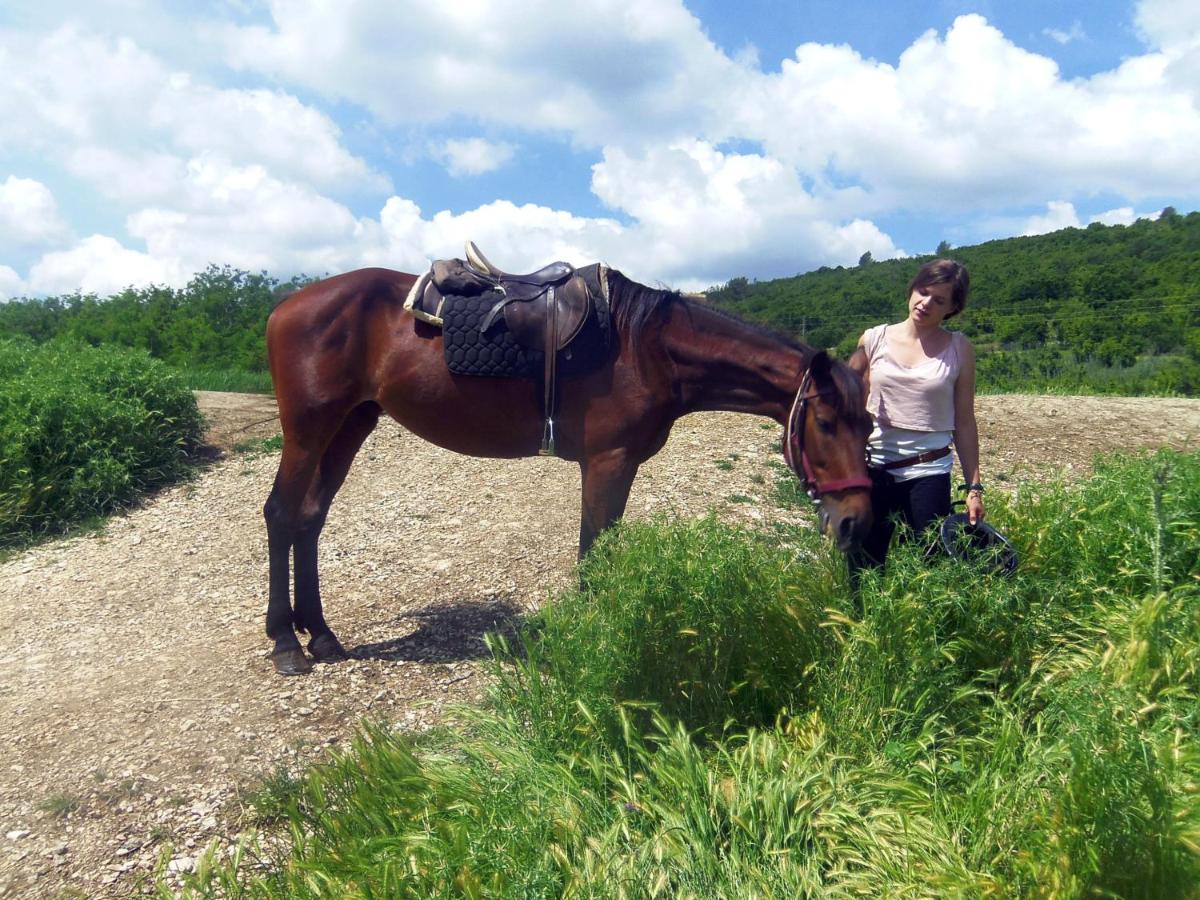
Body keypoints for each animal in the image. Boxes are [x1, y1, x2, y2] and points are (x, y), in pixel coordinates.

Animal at [265, 260, 873, 676]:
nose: (856, 519)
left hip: (351, 424)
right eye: (825, 423)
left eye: (868, 423)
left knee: (310, 520)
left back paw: (321, 635)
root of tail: (286, 306)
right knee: (281, 515)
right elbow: (594, 553)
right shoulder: (608, 462)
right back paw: (287, 643)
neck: (649, 349)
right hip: (309, 430)